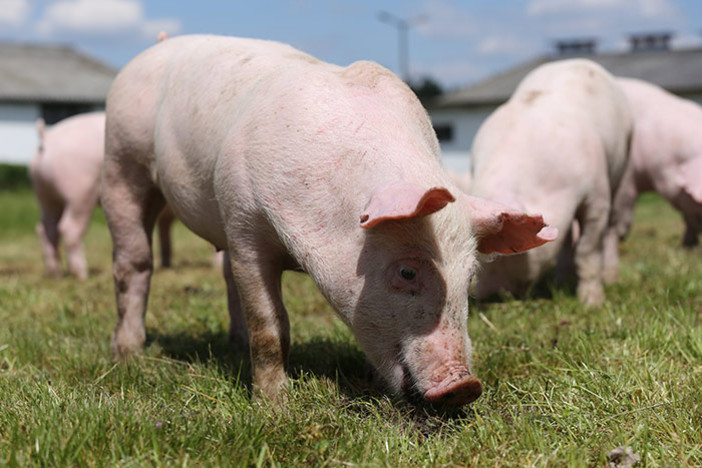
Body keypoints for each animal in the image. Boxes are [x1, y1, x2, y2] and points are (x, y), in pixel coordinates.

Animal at [102, 34, 560, 404]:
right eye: (407, 272)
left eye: (470, 278)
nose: (464, 386)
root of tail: (158, 45)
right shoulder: (246, 224)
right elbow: (269, 326)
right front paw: (275, 408)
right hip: (122, 159)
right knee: (133, 262)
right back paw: (129, 354)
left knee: (227, 277)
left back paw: (232, 345)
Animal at [470, 59, 636, 308]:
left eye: (508, 248)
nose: (486, 296)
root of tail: (578, 61)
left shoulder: (596, 196)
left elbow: (587, 249)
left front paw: (591, 303)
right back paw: (561, 280)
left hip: (623, 161)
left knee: (612, 226)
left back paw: (610, 278)